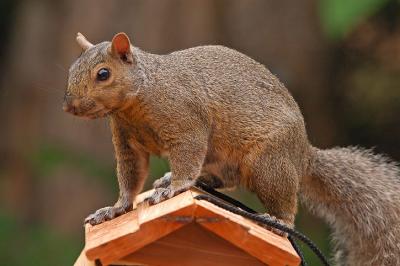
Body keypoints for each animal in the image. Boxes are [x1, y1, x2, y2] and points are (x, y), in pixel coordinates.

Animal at [63, 32, 400, 264]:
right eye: (70, 70)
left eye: (103, 74)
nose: (70, 107)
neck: (137, 100)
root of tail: (302, 153)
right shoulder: (127, 142)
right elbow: (131, 177)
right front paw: (115, 209)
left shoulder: (186, 121)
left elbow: (187, 154)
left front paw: (174, 187)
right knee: (224, 179)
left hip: (269, 165)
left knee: (284, 205)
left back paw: (277, 221)